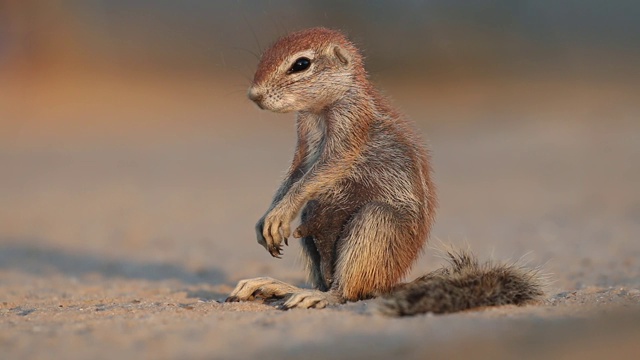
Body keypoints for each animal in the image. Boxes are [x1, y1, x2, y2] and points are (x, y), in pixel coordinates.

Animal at [225, 28, 540, 316]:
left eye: (301, 64)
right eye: (266, 54)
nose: (253, 95)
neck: (321, 110)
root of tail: (386, 283)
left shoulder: (350, 130)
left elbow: (319, 173)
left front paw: (279, 214)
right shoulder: (303, 142)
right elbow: (293, 175)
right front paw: (266, 218)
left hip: (376, 220)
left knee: (346, 292)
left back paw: (313, 296)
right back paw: (276, 286)